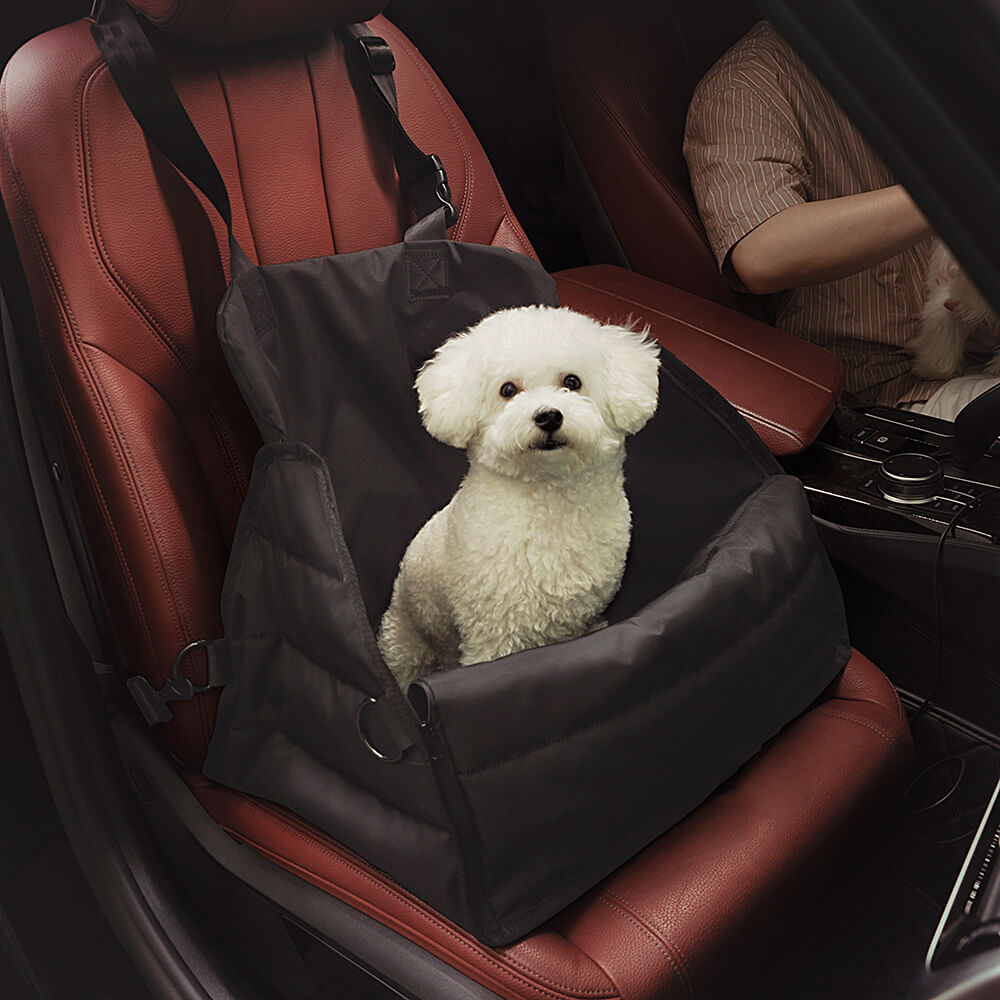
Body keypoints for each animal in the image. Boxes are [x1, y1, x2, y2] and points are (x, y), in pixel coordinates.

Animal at [378, 304, 660, 688]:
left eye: (572, 382)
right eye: (508, 389)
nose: (549, 416)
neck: (548, 496)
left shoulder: (577, 617)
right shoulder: (494, 631)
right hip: (405, 639)